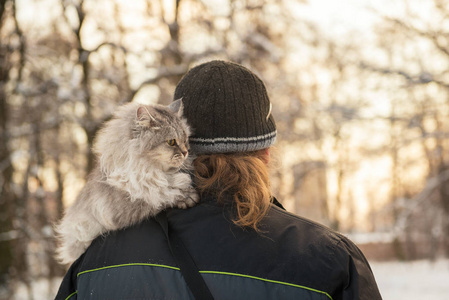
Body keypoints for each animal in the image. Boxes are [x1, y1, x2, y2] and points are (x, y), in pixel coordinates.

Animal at [54, 99, 198, 264]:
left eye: (185, 140)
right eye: (171, 142)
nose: (185, 152)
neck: (147, 167)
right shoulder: (121, 208)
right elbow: (157, 196)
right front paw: (185, 194)